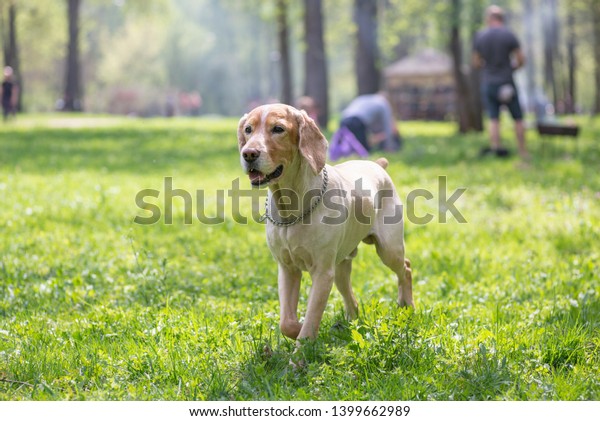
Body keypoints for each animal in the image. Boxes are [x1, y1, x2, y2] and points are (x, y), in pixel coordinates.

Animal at [238, 103, 412, 340]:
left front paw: (302, 345)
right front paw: (298, 329)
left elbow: (311, 317)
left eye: (278, 129)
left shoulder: (322, 273)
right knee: (351, 298)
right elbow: (287, 323)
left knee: (406, 268)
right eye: (248, 129)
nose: (248, 153)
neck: (291, 208)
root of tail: (377, 165)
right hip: (340, 267)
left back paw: (407, 305)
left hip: (388, 250)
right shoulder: (287, 269)